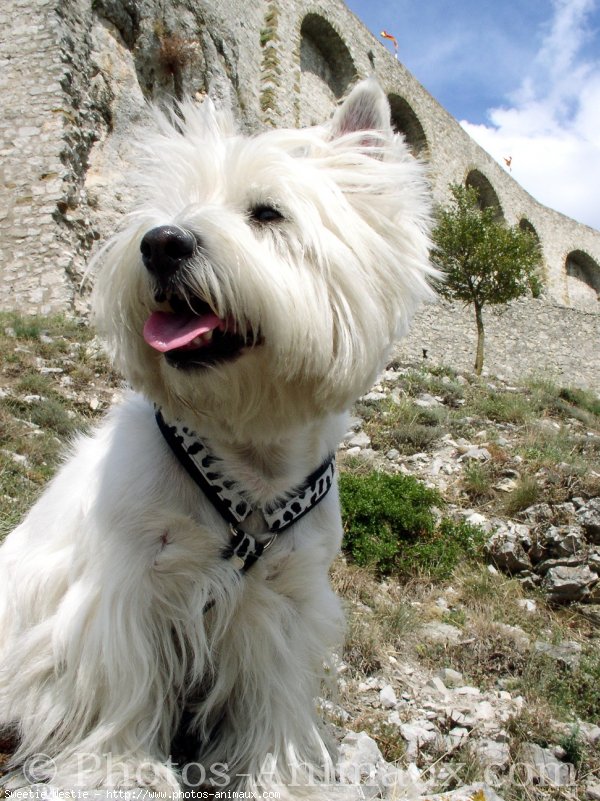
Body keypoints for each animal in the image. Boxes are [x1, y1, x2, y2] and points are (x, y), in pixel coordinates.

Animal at [0, 79, 434, 792]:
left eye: (268, 213)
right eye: (168, 209)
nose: (160, 244)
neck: (246, 460)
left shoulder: (285, 603)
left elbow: (272, 697)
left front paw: (279, 777)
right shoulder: (126, 585)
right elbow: (126, 680)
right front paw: (124, 768)